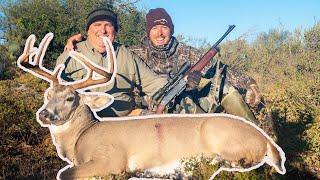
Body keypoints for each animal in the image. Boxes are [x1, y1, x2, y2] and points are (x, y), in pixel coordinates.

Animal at [17, 33, 286, 179]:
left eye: (70, 98)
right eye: (47, 94)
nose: (44, 114)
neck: (81, 138)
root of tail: (266, 141)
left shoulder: (111, 159)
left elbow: (65, 173)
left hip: (219, 135)